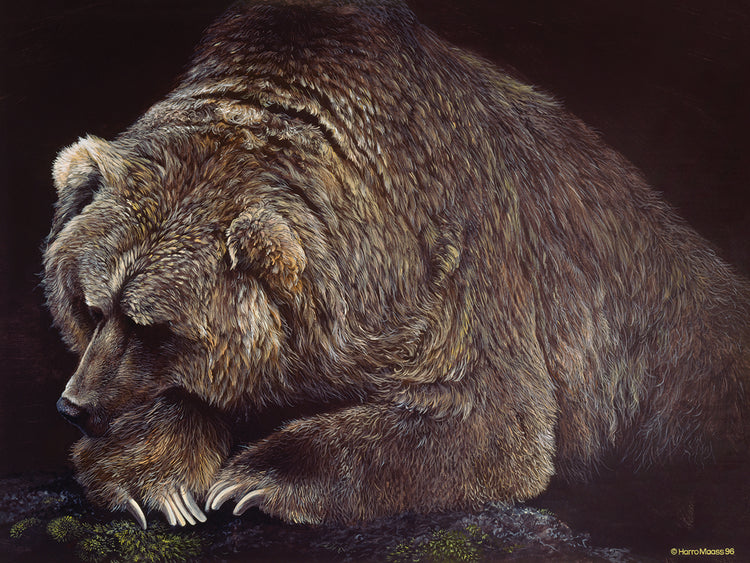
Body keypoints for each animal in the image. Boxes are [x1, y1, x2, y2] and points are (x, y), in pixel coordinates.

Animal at [43, 0, 750, 530]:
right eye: (93, 305)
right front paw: (159, 482)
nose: (74, 405)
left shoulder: (455, 267)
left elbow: (484, 416)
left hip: (687, 367)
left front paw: (252, 478)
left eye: (156, 326)